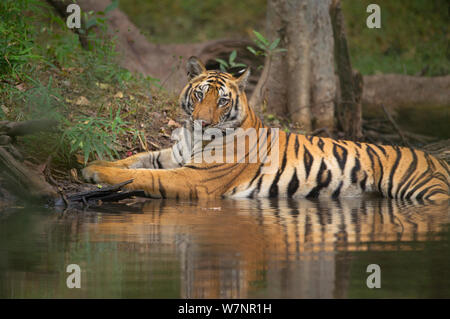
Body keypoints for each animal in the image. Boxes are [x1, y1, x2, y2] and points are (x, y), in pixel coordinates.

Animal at [81, 56, 450, 201]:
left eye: (222, 101)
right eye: (200, 94)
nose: (202, 121)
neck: (193, 137)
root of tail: (437, 159)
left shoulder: (195, 178)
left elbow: (144, 176)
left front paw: (96, 174)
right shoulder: (172, 156)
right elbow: (134, 160)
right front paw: (91, 165)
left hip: (426, 191)